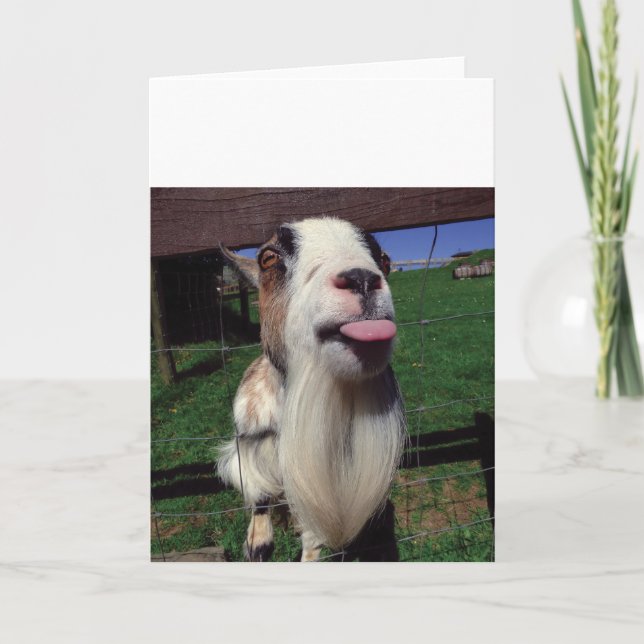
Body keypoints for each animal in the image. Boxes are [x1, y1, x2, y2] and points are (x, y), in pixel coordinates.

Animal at [217, 217, 405, 561]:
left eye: (385, 260)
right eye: (268, 258)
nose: (361, 279)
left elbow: (313, 540)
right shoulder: (248, 445)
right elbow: (258, 492)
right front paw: (257, 544)